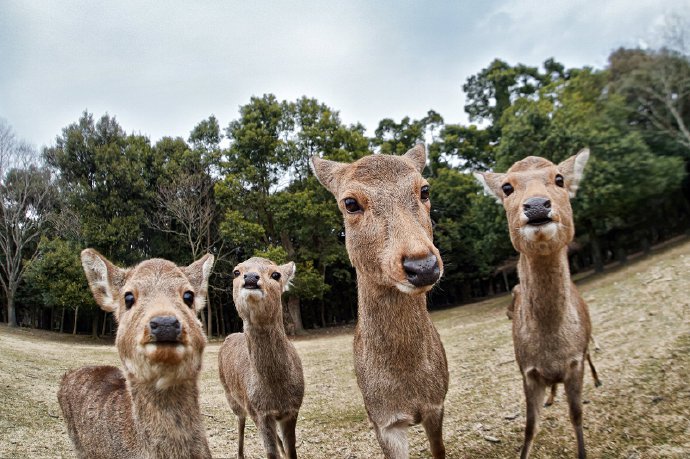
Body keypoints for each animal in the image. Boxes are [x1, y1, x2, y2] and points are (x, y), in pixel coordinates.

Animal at [218, 256, 304, 459]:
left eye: (276, 274)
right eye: (236, 271)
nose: (250, 277)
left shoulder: (293, 409)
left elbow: (291, 451)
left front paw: (285, 450)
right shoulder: (258, 411)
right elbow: (271, 453)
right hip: (231, 396)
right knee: (240, 421)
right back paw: (240, 454)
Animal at [476, 149, 600, 458]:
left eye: (560, 178)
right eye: (507, 187)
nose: (536, 206)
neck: (551, 349)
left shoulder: (574, 363)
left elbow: (576, 415)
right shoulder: (527, 370)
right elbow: (530, 427)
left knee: (591, 354)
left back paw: (597, 380)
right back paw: (551, 398)